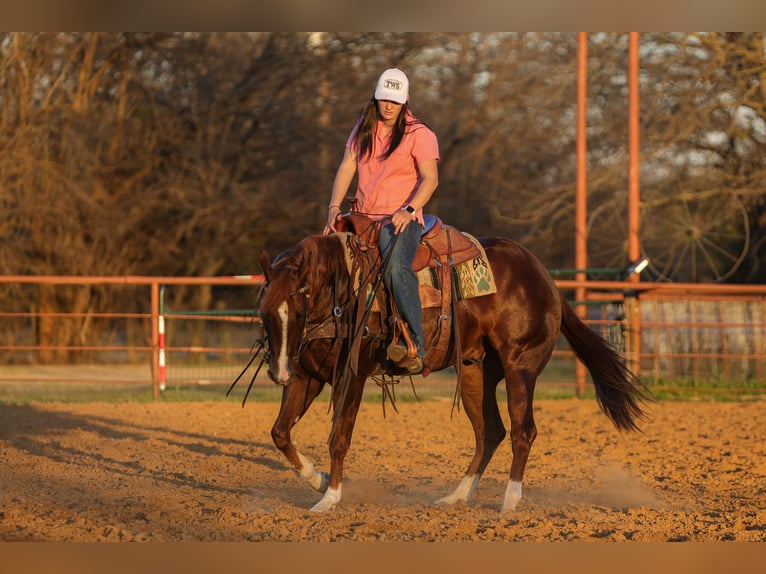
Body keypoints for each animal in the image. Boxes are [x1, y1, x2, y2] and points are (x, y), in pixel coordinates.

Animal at [253, 225, 650, 513]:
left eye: (298, 311)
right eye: (265, 311)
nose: (277, 373)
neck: (342, 289)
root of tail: (546, 280)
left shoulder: (352, 375)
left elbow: (339, 437)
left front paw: (329, 498)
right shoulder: (306, 376)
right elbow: (279, 432)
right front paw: (317, 479)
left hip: (520, 366)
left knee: (523, 431)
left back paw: (510, 501)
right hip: (476, 372)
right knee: (490, 432)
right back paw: (457, 496)